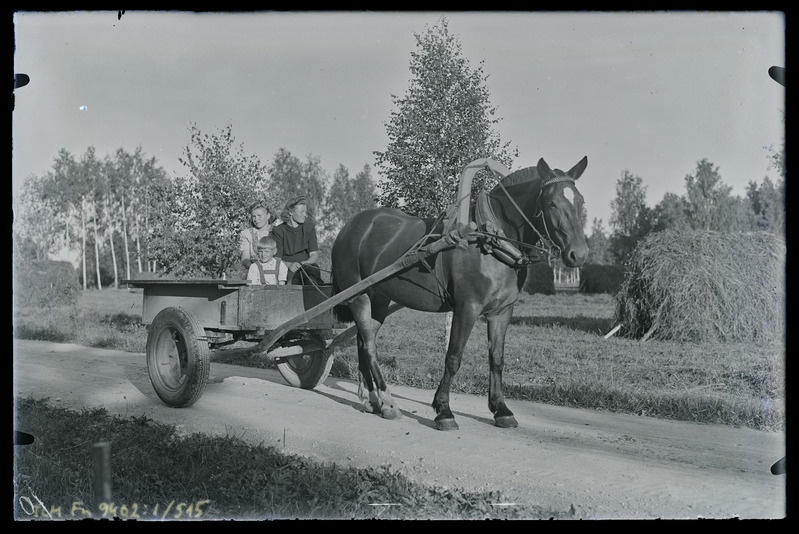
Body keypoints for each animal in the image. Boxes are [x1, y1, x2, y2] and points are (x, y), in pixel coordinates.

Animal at [330, 158, 588, 432]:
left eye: (581, 201)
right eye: (551, 202)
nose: (578, 254)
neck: (491, 237)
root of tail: (350, 227)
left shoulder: (502, 311)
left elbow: (497, 358)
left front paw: (501, 409)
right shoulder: (467, 307)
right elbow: (453, 357)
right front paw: (443, 410)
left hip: (378, 298)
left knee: (362, 342)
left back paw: (372, 399)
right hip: (357, 296)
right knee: (369, 346)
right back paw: (388, 401)